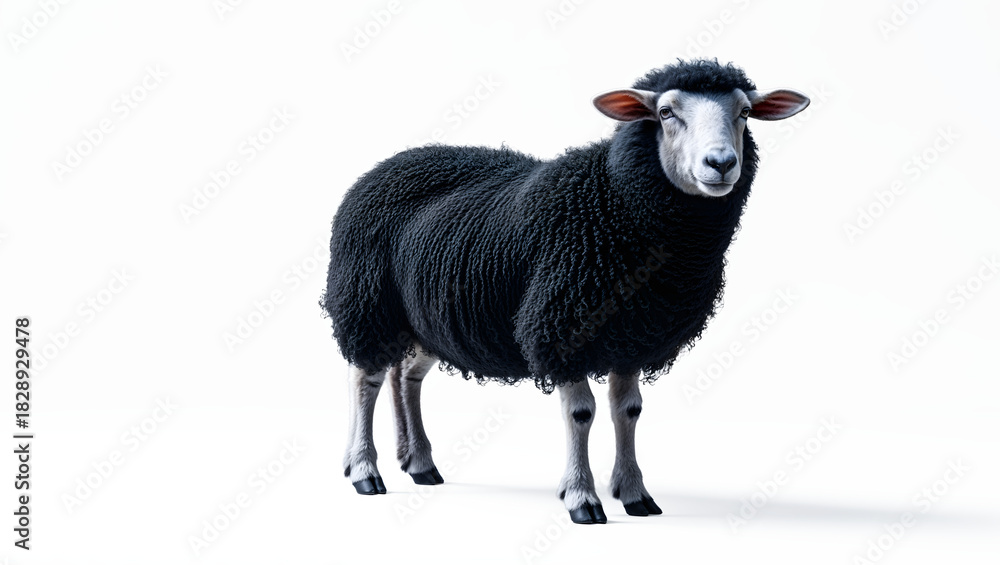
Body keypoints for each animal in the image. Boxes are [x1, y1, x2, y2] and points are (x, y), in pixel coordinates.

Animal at [323, 59, 809, 523]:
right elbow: (582, 414)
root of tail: (387, 165)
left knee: (405, 376)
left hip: (424, 319)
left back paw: (419, 463)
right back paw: (365, 470)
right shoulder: (562, 328)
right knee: (366, 378)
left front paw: (634, 493)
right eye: (666, 112)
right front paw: (582, 497)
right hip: (368, 302)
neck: (615, 201)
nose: (721, 163)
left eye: (744, 113)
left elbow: (628, 410)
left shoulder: (632, 334)